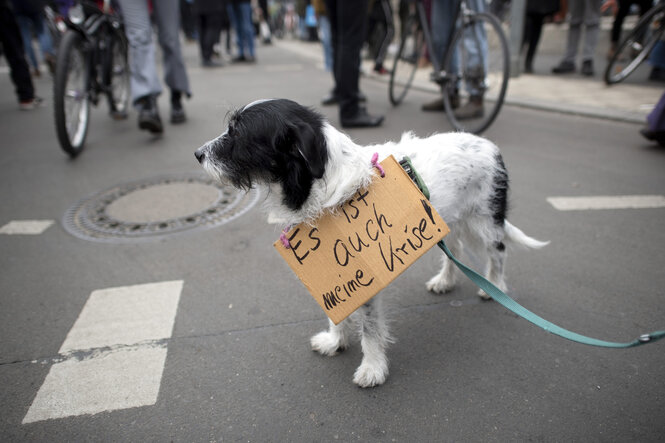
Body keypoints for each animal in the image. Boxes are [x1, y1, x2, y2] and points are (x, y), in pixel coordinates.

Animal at [192, 98, 544, 388]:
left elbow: (370, 330)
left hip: (485, 220)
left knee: (499, 252)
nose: (198, 154)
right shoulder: (335, 278)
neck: (322, 186)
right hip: (448, 221)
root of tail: (489, 145)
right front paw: (335, 341)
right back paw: (445, 281)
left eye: (238, 133)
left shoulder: (368, 277)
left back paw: (493, 286)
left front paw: (373, 369)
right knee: (454, 250)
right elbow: (337, 310)